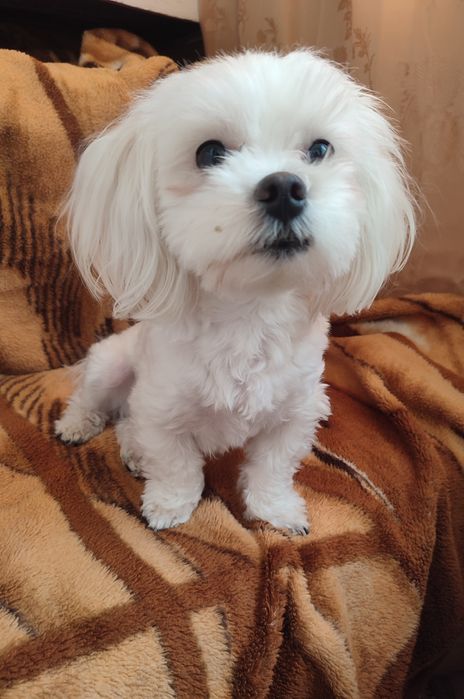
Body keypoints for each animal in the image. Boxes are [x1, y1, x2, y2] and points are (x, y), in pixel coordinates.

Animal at [55, 50, 415, 533]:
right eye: (209, 152)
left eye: (320, 149)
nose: (284, 187)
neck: (249, 312)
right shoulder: (161, 409)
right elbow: (175, 464)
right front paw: (169, 504)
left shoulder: (296, 411)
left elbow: (272, 467)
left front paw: (275, 510)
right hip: (111, 365)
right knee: (96, 400)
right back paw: (79, 425)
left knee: (127, 425)